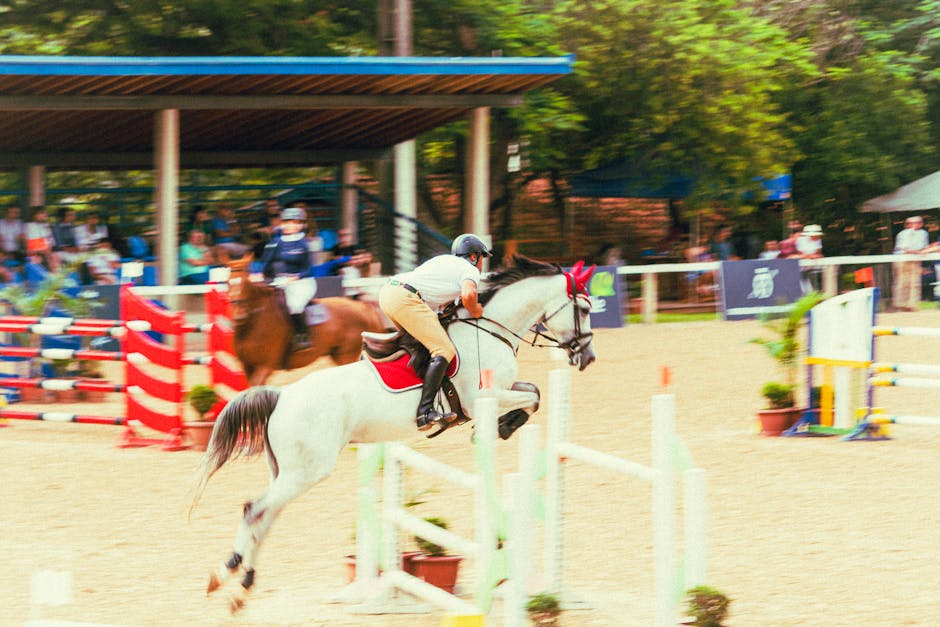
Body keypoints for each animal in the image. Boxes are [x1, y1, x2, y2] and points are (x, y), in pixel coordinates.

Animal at [222, 253, 388, 386]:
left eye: (245, 282)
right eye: (228, 282)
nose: (239, 315)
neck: (254, 321)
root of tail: (363, 307)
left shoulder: (266, 365)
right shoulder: (248, 367)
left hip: (346, 355)